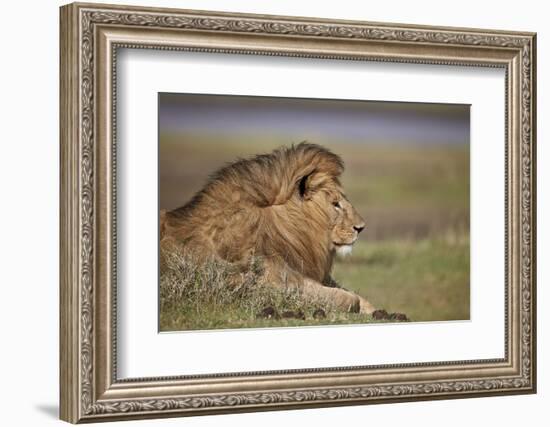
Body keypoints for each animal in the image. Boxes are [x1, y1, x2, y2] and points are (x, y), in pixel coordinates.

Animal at [161, 143, 380, 314]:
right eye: (336, 204)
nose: (361, 227)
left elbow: (358, 296)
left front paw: (378, 312)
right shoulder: (270, 282)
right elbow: (349, 298)